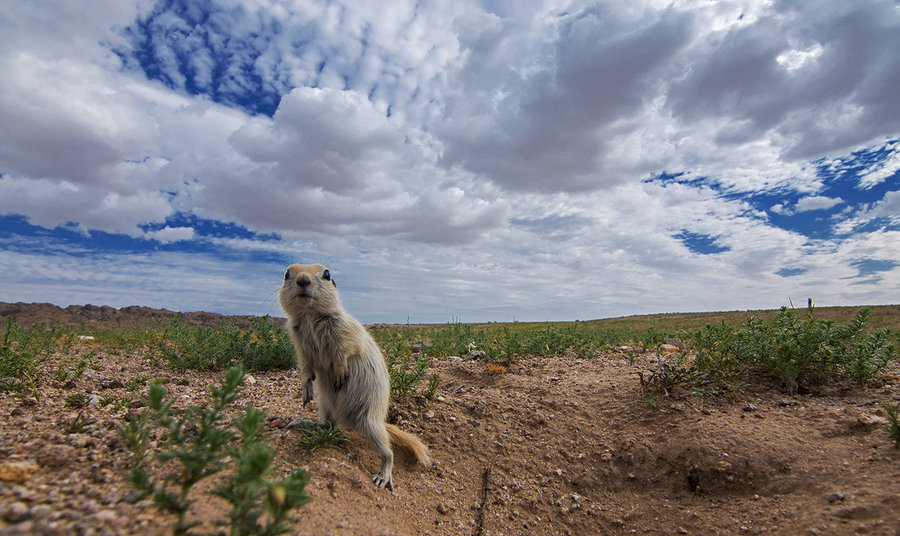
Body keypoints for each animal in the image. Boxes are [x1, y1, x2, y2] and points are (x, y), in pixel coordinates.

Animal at [280, 264, 430, 490]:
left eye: (327, 274)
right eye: (286, 274)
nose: (303, 280)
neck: (309, 315)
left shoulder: (345, 329)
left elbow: (346, 349)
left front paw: (340, 372)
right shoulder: (297, 340)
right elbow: (305, 363)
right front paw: (306, 390)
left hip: (369, 422)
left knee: (388, 452)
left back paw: (383, 477)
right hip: (326, 406)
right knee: (329, 425)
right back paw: (300, 422)